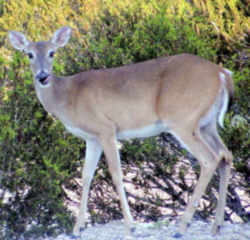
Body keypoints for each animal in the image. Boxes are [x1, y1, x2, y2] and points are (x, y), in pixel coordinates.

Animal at [8, 26, 234, 236]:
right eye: (29, 54)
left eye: (52, 52)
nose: (42, 76)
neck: (68, 96)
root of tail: (222, 74)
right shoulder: (92, 138)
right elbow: (86, 175)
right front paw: (77, 229)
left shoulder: (106, 128)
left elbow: (116, 174)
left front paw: (130, 226)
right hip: (206, 124)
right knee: (225, 154)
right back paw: (216, 226)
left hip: (182, 119)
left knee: (209, 159)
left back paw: (182, 227)